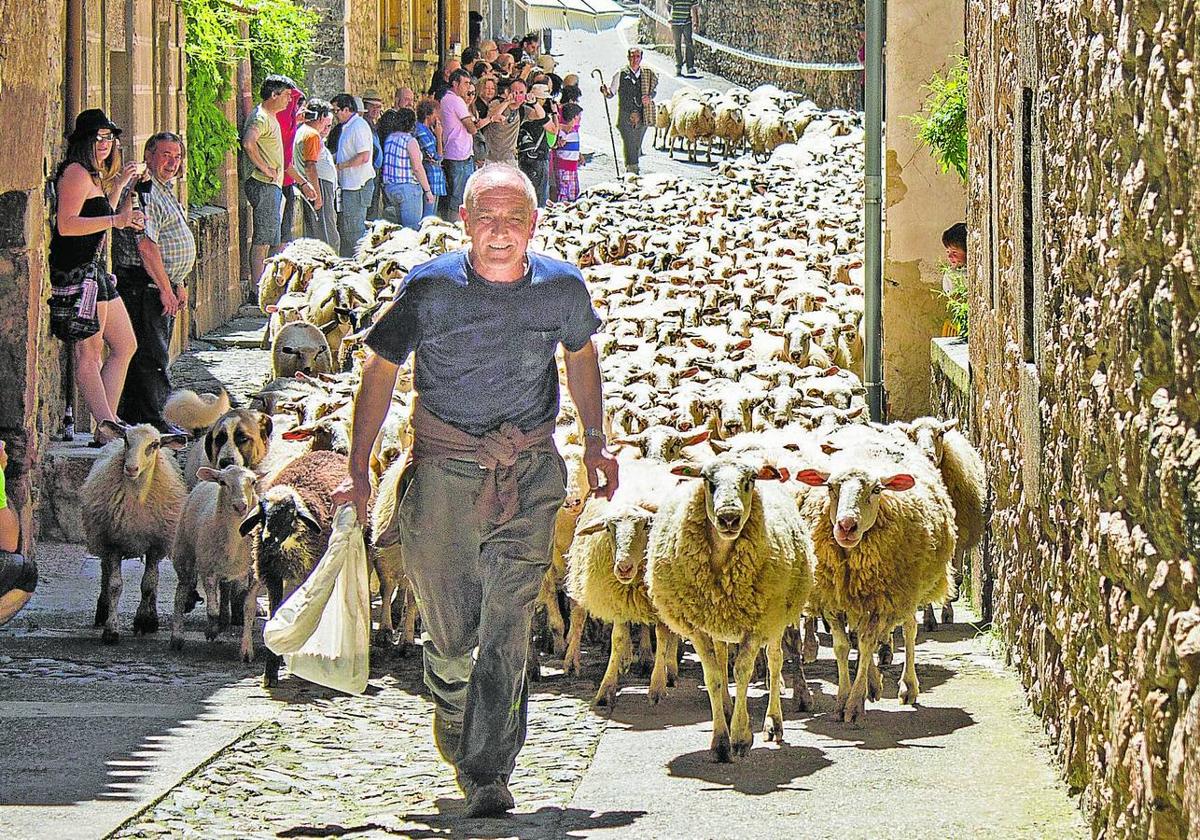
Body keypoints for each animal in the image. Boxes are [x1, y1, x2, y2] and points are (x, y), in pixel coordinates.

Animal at [170, 463, 259, 657]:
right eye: (223, 482)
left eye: (253, 482)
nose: (240, 506)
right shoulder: (207, 569)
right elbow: (212, 609)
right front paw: (211, 629)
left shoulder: (255, 573)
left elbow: (248, 609)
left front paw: (246, 650)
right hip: (184, 552)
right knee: (181, 593)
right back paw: (177, 636)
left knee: (225, 590)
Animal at [648, 453, 816, 763]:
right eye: (706, 480)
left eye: (750, 480)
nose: (728, 517)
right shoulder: (698, 628)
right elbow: (714, 675)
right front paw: (720, 741)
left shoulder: (758, 624)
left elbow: (742, 672)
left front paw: (740, 737)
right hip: (719, 623)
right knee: (723, 654)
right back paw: (726, 707)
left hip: (777, 617)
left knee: (775, 660)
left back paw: (773, 723)